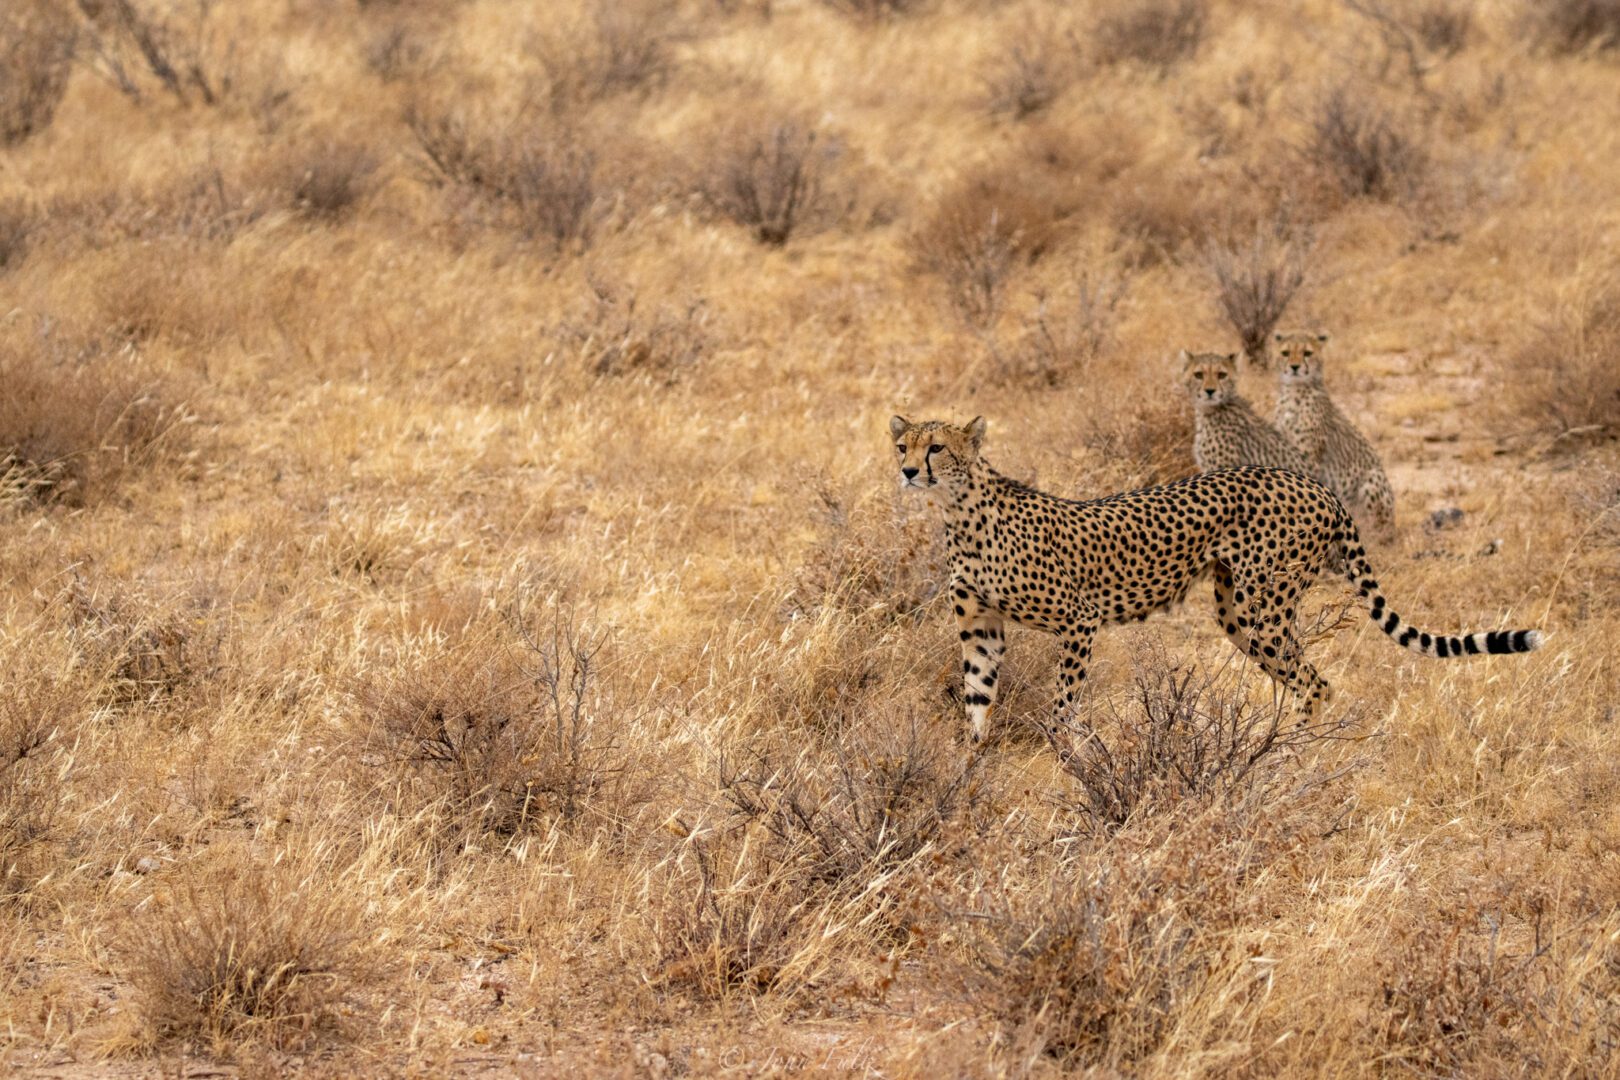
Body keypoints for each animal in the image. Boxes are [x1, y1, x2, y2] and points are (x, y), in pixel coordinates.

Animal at [894, 414, 1548, 744]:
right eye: (903, 444)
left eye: (936, 448)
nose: (905, 471)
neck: (960, 510)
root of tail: (1316, 485)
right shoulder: (981, 629)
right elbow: (977, 700)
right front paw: (971, 769)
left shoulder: (1079, 621)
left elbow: (1062, 706)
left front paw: (1066, 759)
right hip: (1238, 610)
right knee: (1303, 678)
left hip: (1265, 606)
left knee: (1315, 682)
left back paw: (1286, 756)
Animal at [1270, 331, 1399, 540]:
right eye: (1285, 353)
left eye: (1307, 353)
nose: (1295, 367)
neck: (1294, 392)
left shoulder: (1308, 459)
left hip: (1373, 477)